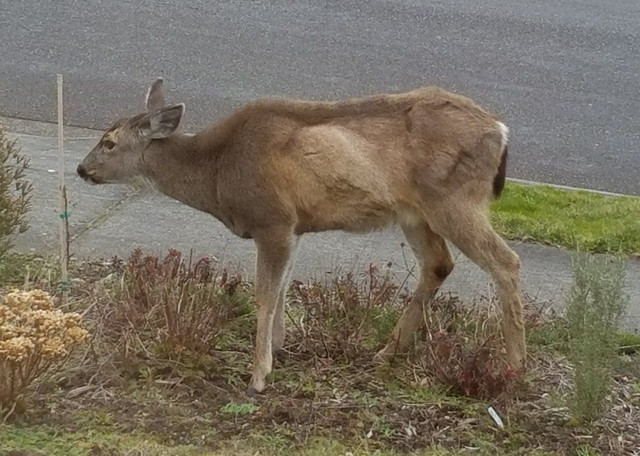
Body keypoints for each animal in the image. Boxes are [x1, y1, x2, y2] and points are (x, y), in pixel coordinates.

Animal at [78, 78, 526, 395]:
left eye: (109, 142)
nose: (82, 169)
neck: (219, 170)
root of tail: (502, 130)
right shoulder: (293, 225)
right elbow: (280, 292)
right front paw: (278, 348)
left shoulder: (272, 218)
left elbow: (263, 295)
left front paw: (258, 375)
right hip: (415, 212)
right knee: (438, 264)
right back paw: (386, 351)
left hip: (454, 199)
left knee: (506, 261)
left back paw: (515, 368)